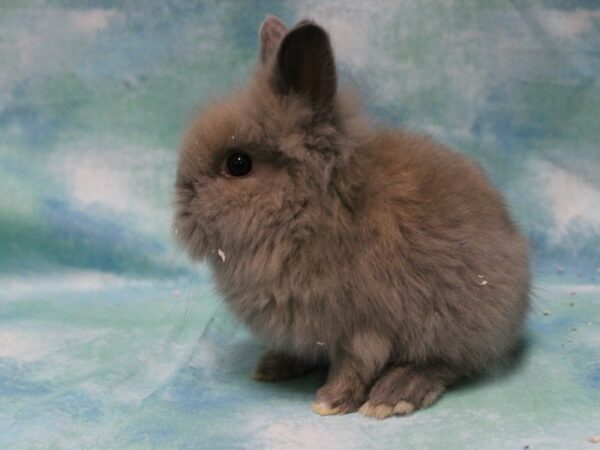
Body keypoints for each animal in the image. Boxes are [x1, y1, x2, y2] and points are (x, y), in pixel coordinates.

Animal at [172, 15, 528, 420]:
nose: (182, 202)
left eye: (238, 164)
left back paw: (396, 393)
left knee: (449, 365)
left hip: (459, 323)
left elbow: (355, 364)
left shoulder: (364, 327)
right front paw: (274, 366)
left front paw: (330, 401)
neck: (312, 211)